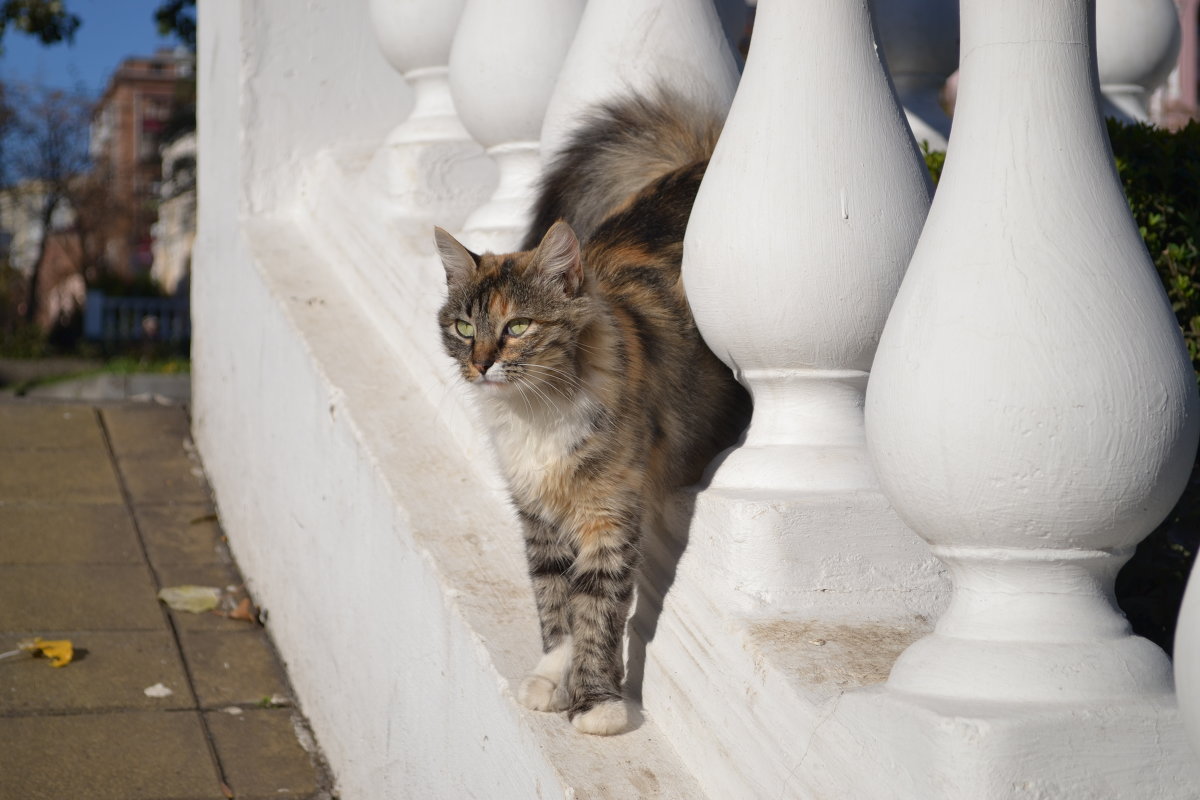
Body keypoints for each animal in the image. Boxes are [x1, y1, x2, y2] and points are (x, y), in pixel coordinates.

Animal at [432, 90, 748, 734]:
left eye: (518, 327)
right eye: (464, 328)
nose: (481, 365)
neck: (538, 411)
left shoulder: (608, 513)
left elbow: (596, 612)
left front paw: (597, 702)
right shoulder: (538, 515)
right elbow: (556, 607)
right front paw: (551, 680)